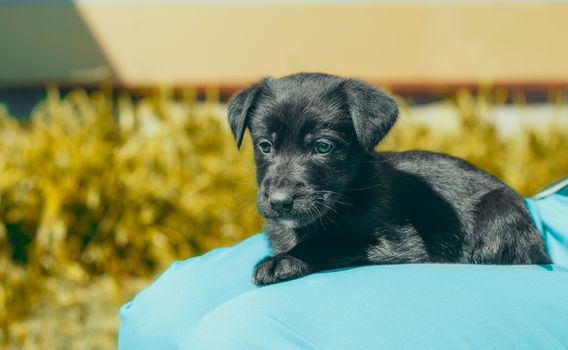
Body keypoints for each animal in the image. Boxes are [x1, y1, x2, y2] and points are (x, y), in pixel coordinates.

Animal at [227, 72, 552, 286]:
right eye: (265, 146)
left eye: (322, 146)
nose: (279, 202)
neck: (351, 193)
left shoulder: (400, 244)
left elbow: (334, 244)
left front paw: (283, 261)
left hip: (499, 211)